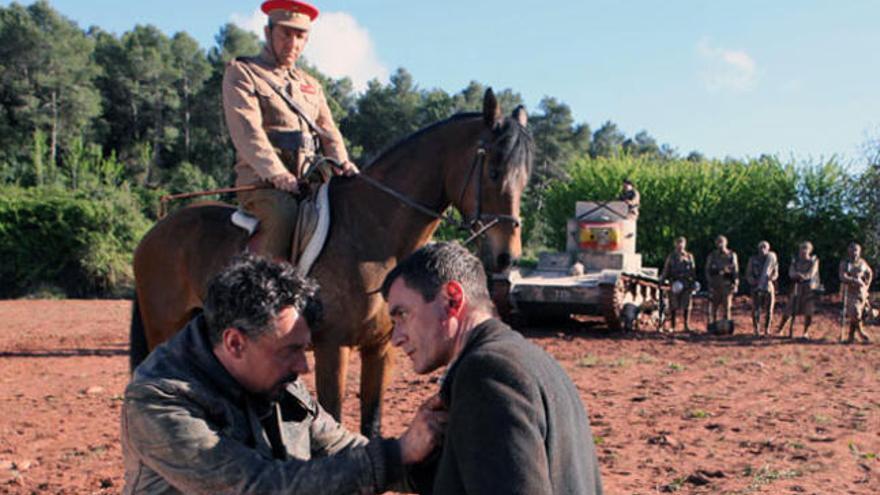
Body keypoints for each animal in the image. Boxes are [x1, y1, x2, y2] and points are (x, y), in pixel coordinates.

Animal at [129, 88, 528, 434]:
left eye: (524, 178)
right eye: (493, 170)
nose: (507, 255)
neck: (371, 234)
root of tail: (156, 229)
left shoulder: (380, 348)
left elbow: (372, 423)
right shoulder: (332, 348)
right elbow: (333, 414)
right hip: (163, 327)